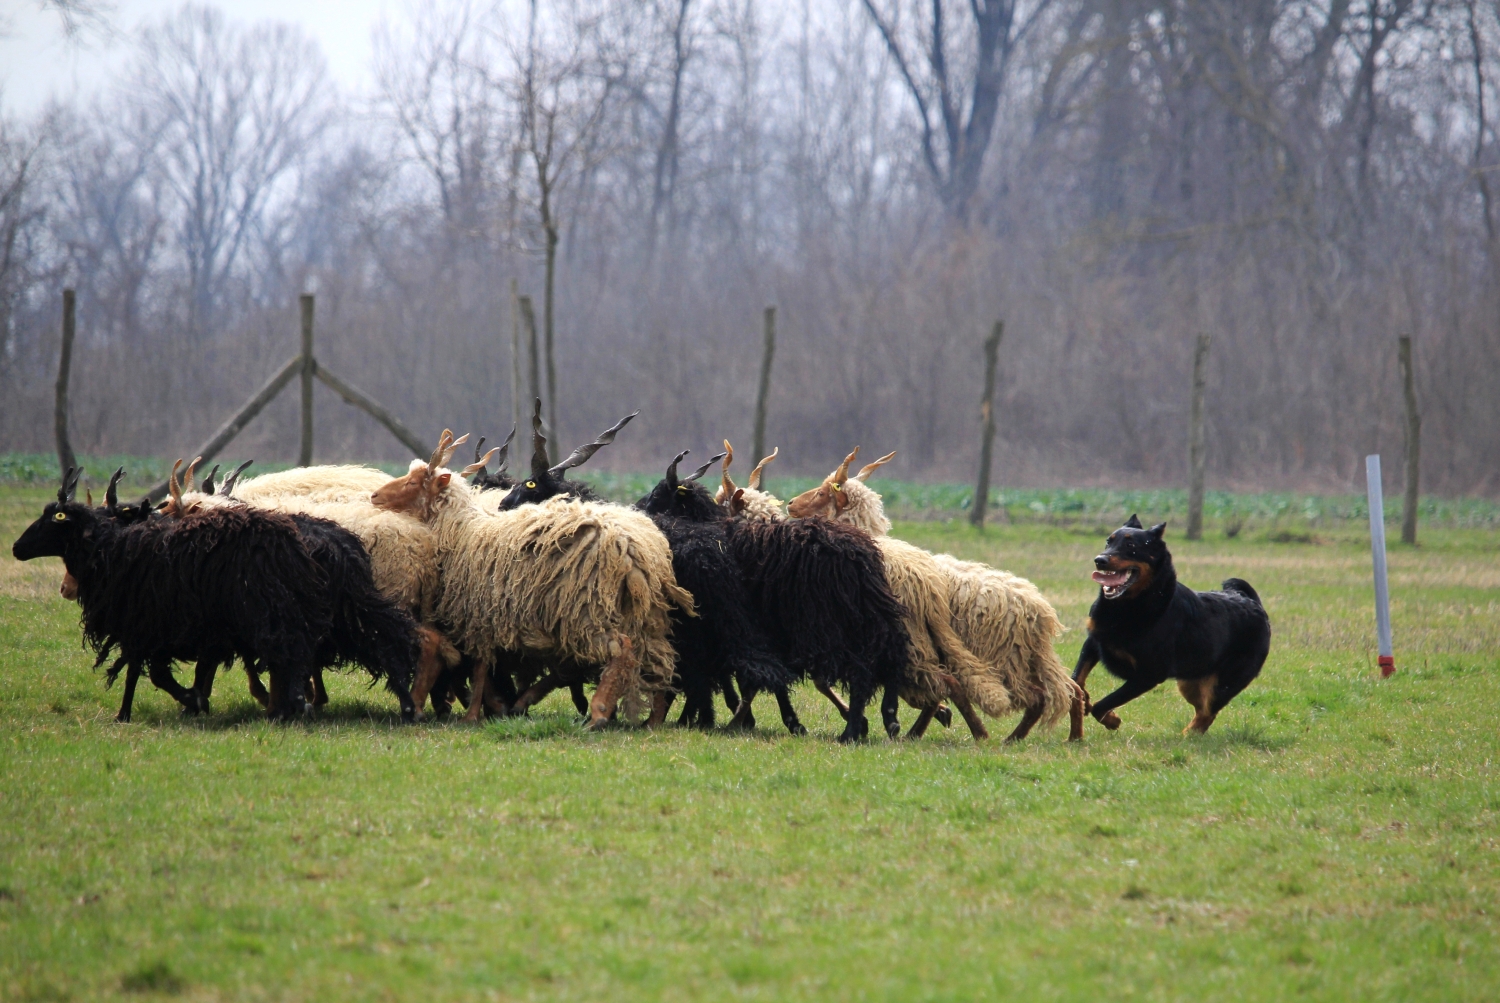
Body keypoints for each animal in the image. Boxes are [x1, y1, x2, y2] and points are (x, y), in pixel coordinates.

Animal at [12, 470, 331, 719]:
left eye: (57, 517)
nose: (16, 548)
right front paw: (190, 702)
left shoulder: (150, 622)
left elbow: (154, 671)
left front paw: (185, 702)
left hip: (265, 606)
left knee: (287, 648)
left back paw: (293, 703)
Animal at [1074, 515, 1272, 734]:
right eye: (1108, 542)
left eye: (1131, 545)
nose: (1100, 560)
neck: (1128, 606)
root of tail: (1253, 602)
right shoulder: (1094, 641)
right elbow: (1076, 679)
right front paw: (1083, 700)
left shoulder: (1149, 674)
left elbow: (1105, 703)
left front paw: (1111, 719)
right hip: (1190, 682)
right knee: (1203, 710)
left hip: (1226, 681)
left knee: (1208, 712)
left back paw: (1187, 736)